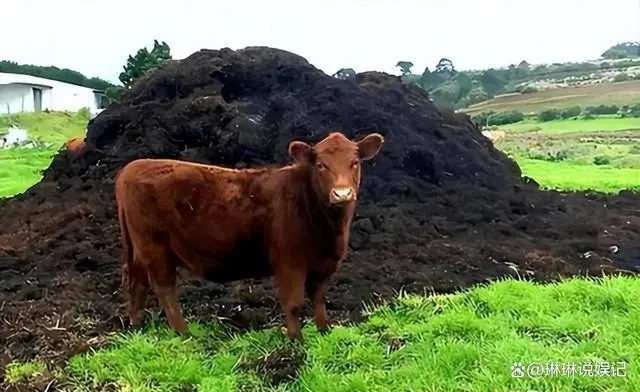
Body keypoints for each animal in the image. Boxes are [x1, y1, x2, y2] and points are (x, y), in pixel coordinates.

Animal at [114, 132, 384, 340]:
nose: (342, 193)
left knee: (138, 283)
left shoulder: (323, 264)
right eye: (321, 165)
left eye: (355, 162)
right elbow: (294, 303)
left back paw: (137, 329)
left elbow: (318, 299)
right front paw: (295, 342)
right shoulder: (289, 261)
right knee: (164, 288)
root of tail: (133, 167)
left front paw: (323, 332)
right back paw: (184, 333)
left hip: (141, 249)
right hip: (155, 246)